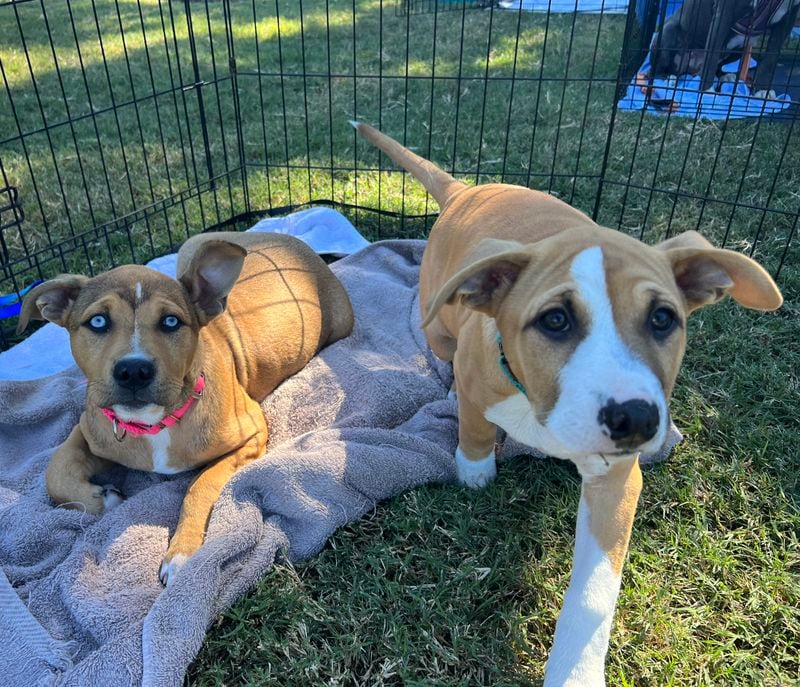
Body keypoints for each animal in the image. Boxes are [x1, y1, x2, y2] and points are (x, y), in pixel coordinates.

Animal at [15, 231, 352, 584]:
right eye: (97, 321)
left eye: (170, 321)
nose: (133, 370)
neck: (153, 422)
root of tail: (299, 246)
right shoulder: (90, 428)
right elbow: (56, 471)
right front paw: (103, 500)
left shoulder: (252, 433)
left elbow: (199, 484)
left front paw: (182, 552)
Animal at [354, 123, 784, 687]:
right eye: (555, 320)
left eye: (663, 318)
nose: (637, 420)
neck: (539, 405)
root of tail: (467, 190)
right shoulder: (474, 371)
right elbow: (473, 423)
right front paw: (475, 469)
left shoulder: (616, 481)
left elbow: (594, 592)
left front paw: (575, 671)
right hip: (439, 320)